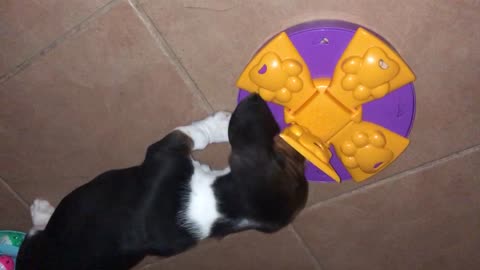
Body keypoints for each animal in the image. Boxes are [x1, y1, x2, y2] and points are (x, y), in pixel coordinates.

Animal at [17, 94, 308, 268]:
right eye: (286, 157)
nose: (302, 152)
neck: (220, 206)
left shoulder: (164, 150)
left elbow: (195, 136)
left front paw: (218, 126)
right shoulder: (165, 151)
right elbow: (196, 137)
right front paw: (220, 125)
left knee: (36, 229)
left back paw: (41, 211)